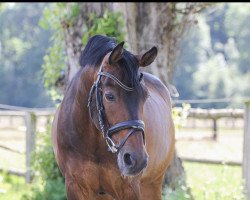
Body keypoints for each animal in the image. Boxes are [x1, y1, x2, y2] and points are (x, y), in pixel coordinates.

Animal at [51, 35, 175, 199]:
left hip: (152, 184)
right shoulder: (74, 186)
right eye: (109, 96)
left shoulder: (129, 190)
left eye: (145, 96)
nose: (136, 160)